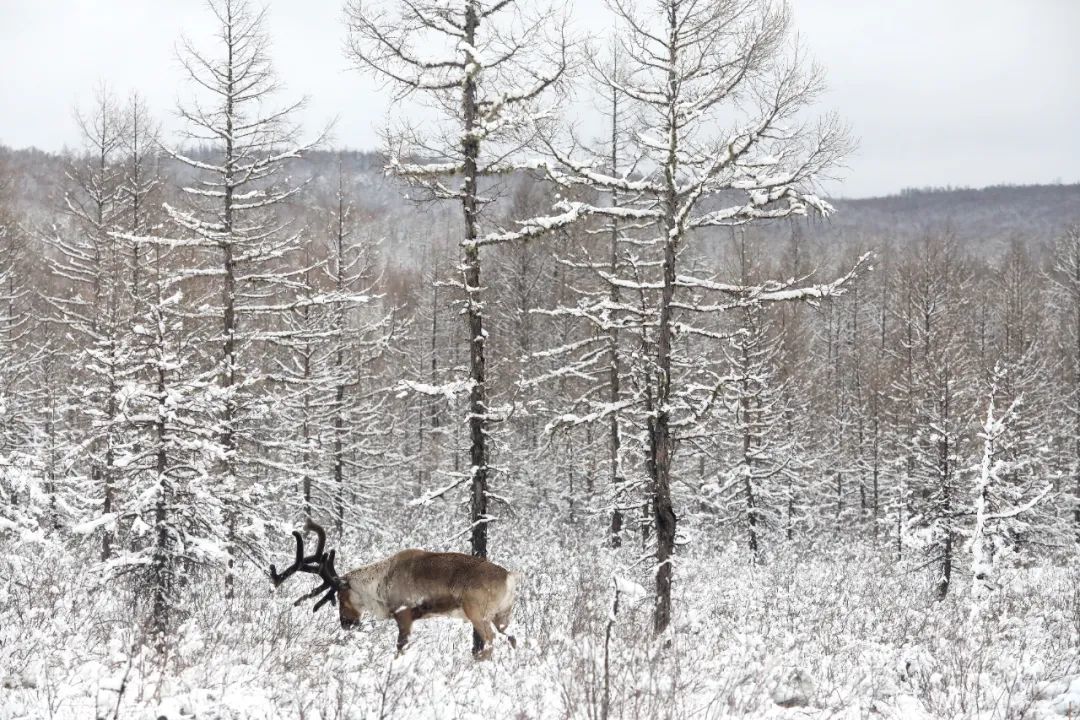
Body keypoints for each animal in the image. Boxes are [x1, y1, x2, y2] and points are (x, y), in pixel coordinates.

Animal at [269, 520, 519, 659]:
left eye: (340, 596)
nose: (346, 623)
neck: (380, 583)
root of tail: (509, 577)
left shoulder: (404, 614)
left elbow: (399, 648)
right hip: (502, 616)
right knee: (513, 638)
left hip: (477, 613)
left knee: (490, 640)